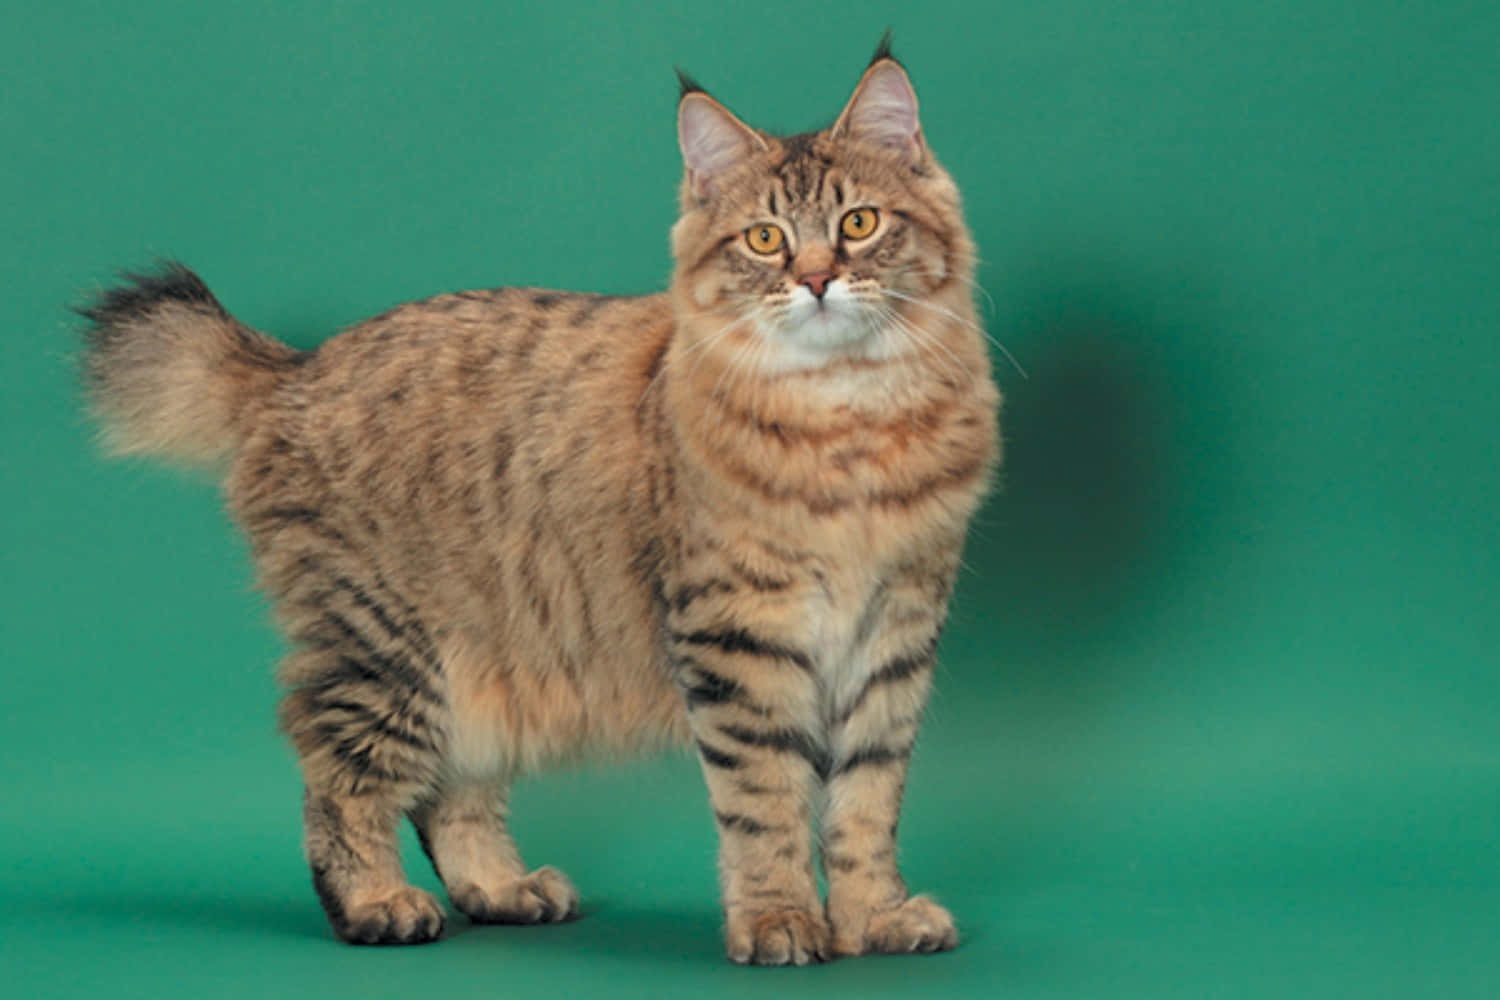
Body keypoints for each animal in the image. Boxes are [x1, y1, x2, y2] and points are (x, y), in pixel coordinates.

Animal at [79, 41, 996, 971]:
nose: (815, 280)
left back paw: (501, 889)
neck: (848, 423)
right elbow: (767, 801)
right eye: (765, 239)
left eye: (860, 224)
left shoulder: (892, 637)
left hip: (479, 661)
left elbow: (865, 804)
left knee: (448, 795)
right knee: (338, 776)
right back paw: (377, 902)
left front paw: (872, 918)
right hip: (387, 648)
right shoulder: (742, 638)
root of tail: (298, 367)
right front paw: (779, 919)